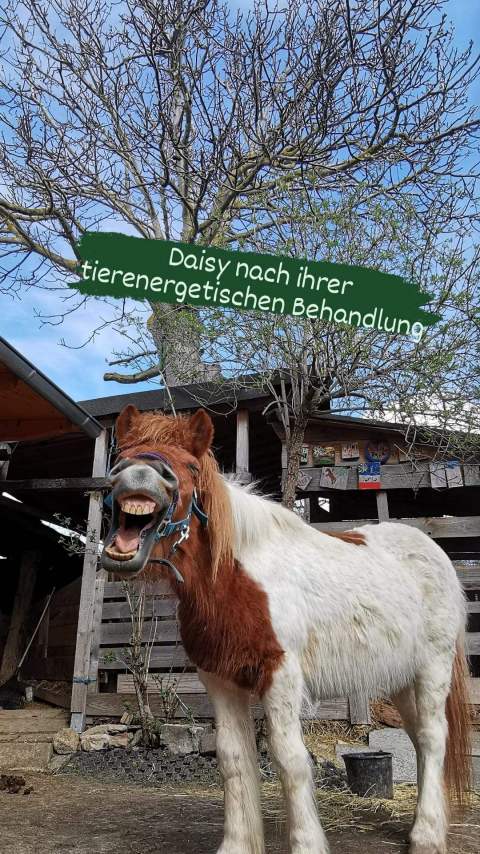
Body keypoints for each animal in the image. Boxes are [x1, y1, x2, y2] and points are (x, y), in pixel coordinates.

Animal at [101, 404, 471, 854]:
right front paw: (237, 844)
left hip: (433, 668)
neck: (235, 577)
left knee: (434, 737)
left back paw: (427, 835)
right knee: (418, 738)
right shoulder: (220, 679)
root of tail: (435, 553)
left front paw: (307, 843)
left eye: (189, 465)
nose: (136, 475)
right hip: (401, 677)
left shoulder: (280, 674)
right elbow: (233, 760)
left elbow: (290, 760)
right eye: (123, 454)